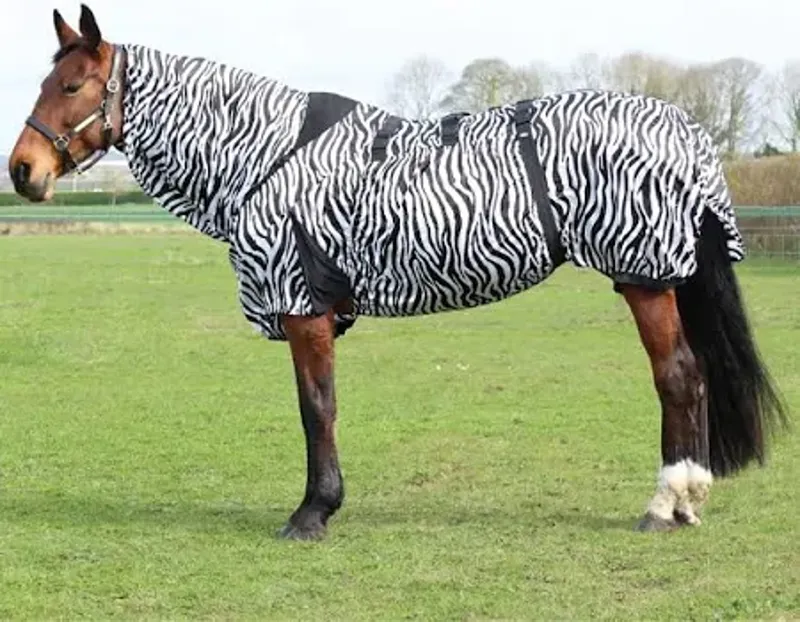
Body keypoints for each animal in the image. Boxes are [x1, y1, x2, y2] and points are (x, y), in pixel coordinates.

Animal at [9, 4, 786, 540]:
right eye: (50, 80)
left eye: (73, 85)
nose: (22, 170)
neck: (269, 156)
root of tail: (683, 128)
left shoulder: (304, 306)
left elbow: (316, 407)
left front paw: (313, 512)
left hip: (644, 278)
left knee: (678, 376)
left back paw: (667, 502)